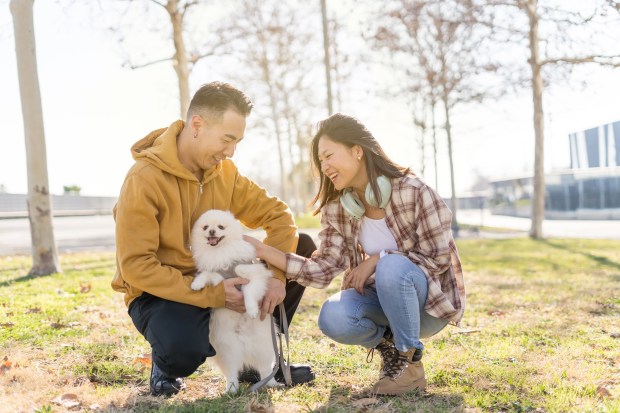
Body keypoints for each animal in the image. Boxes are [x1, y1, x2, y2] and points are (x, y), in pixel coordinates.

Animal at [189, 209, 276, 392]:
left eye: (220, 227)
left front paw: (251, 310)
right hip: (226, 349)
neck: (219, 252)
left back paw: (271, 383)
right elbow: (207, 274)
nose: (212, 231)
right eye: (205, 227)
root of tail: (244, 345)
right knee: (232, 371)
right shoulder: (219, 277)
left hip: (263, 345)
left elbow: (248, 288)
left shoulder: (252, 273)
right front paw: (197, 284)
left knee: (266, 367)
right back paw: (231, 389)